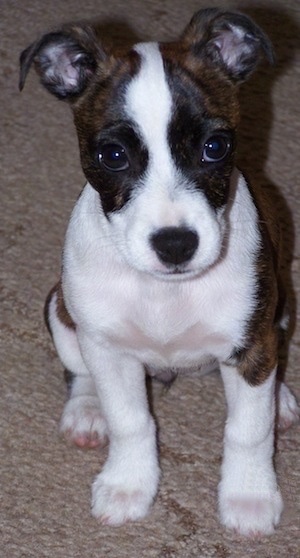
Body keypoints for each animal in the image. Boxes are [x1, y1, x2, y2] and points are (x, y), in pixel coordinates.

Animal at [19, 7, 298, 540]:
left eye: (216, 146)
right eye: (112, 156)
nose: (175, 244)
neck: (166, 291)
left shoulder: (252, 343)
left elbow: (248, 430)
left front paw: (249, 495)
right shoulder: (108, 349)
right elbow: (131, 421)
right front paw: (128, 484)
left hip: (283, 308)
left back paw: (282, 399)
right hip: (59, 307)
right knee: (78, 371)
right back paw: (86, 411)